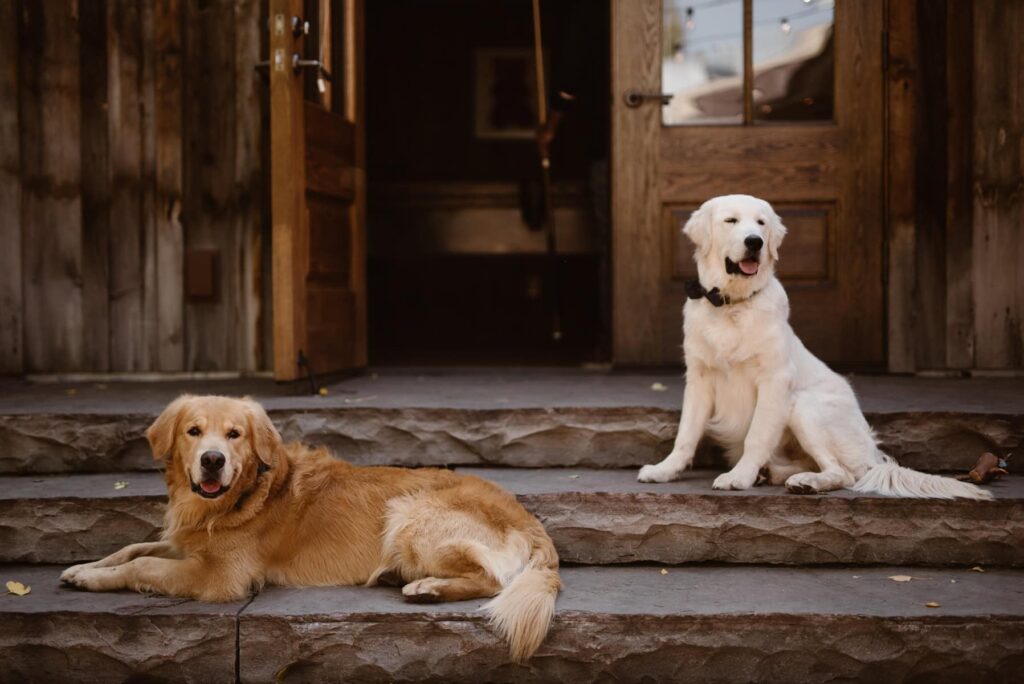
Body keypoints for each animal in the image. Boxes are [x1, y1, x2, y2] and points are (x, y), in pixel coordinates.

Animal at [638, 194, 991, 499]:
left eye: (761, 223)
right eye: (731, 221)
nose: (755, 241)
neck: (732, 305)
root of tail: (872, 456)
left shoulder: (775, 380)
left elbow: (756, 435)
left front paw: (739, 476)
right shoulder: (699, 378)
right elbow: (686, 434)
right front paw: (664, 469)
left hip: (804, 406)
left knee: (842, 473)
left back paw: (804, 482)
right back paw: (774, 474)